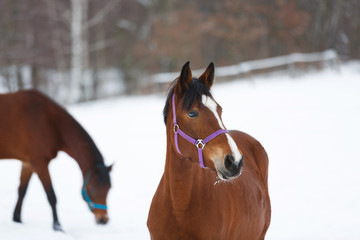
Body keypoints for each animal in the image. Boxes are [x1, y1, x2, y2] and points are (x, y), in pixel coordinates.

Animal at [0, 89, 112, 231]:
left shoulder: (28, 163)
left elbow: (22, 191)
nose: (103, 220)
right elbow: (51, 196)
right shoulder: (40, 163)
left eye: (109, 188)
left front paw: (17, 219)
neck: (48, 121)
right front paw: (57, 226)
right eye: (93, 188)